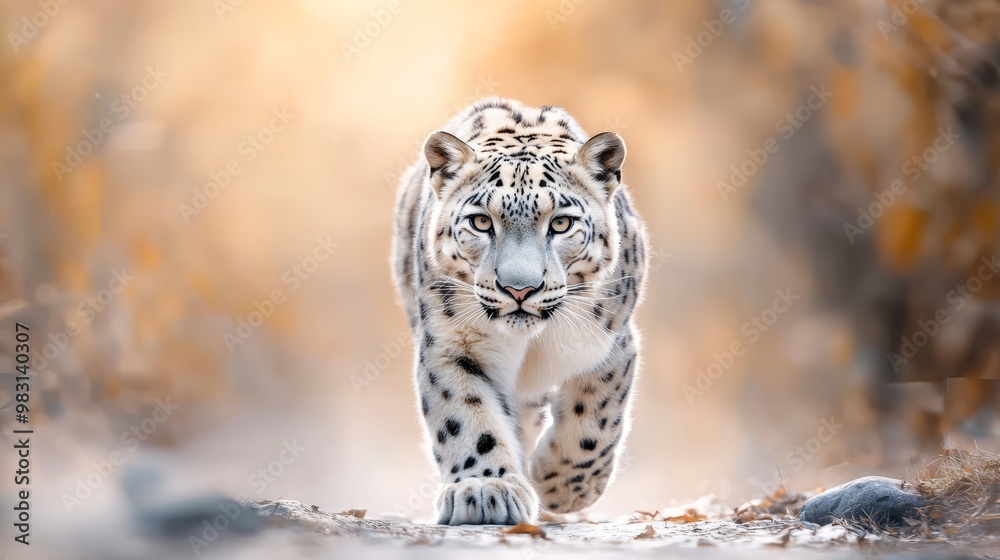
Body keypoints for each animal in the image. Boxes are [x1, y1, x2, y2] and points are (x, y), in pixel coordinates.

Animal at [391, 97, 648, 525]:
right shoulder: (451, 345)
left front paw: (560, 487)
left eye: (561, 223)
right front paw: (484, 489)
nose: (519, 288)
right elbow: (464, 414)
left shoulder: (611, 343)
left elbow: (596, 415)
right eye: (481, 221)